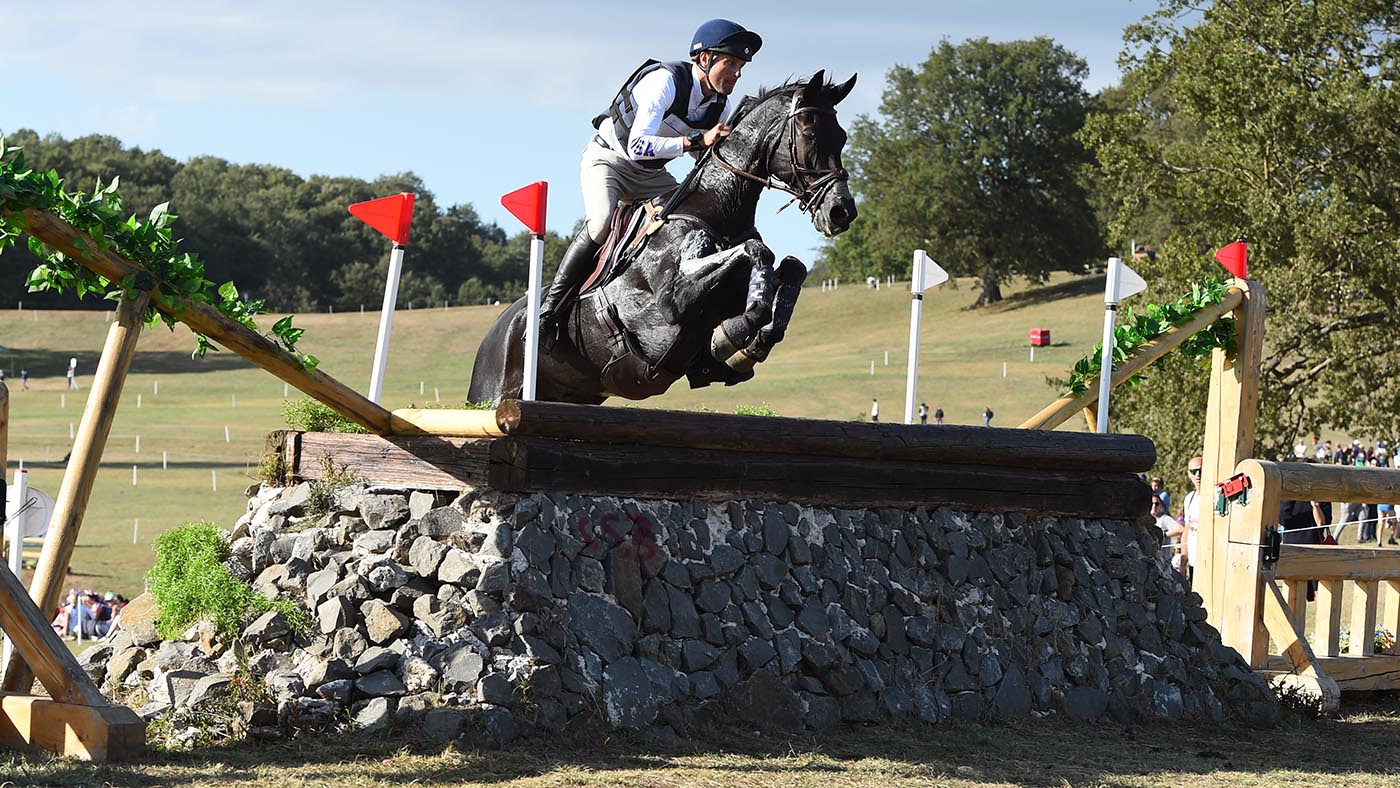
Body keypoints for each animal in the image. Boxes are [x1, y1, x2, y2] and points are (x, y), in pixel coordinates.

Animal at [469, 70, 858, 405]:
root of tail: (494, 332)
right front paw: (731, 336)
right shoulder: (672, 303)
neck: (717, 208)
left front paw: (744, 347)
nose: (842, 212)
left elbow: (791, 270)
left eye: (842, 137)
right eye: (809, 135)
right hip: (491, 394)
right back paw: (545, 320)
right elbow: (756, 253)